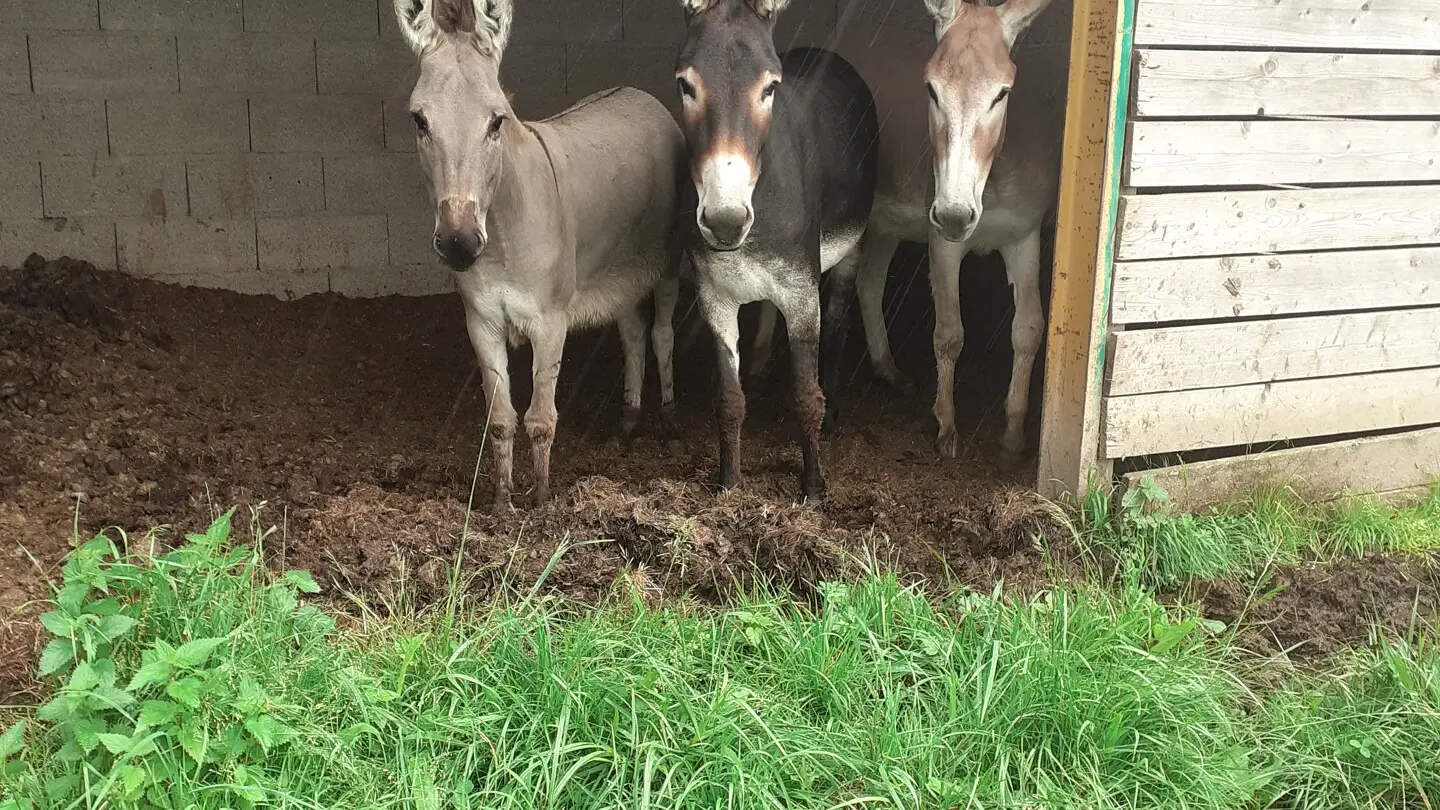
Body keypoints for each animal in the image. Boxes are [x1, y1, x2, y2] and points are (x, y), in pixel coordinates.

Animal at [392, 0, 687, 509]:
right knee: (632, 332)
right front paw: (502, 502)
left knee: (663, 333)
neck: (501, 238)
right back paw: (628, 421)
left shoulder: (551, 322)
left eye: (497, 121)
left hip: (666, 262)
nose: (459, 242)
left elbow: (541, 417)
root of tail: (640, 94)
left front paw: (545, 502)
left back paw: (667, 420)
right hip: (618, 272)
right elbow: (500, 419)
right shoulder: (482, 322)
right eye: (420, 121)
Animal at [673, 0, 880, 501]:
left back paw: (835, 411)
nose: (726, 220)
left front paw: (813, 490)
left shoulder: (803, 297)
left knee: (839, 325)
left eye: (770, 87)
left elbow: (806, 396)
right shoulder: (715, 298)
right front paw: (728, 484)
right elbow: (729, 399)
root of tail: (825, 53)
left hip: (852, 247)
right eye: (686, 85)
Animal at [836, 0, 1063, 464]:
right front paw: (946, 426)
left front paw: (1013, 436)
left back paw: (888, 370)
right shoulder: (942, 242)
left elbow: (1029, 329)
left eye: (1002, 93)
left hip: (885, 223)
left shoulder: (1024, 237)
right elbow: (949, 334)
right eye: (931, 90)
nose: (957, 214)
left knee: (869, 282)